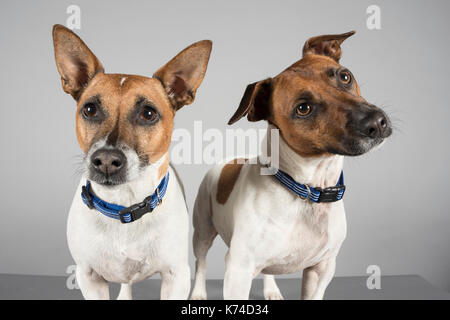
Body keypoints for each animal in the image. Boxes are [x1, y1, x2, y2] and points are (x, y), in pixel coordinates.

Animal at [53, 25, 212, 300]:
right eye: (90, 109)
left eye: (148, 113)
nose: (106, 160)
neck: (123, 205)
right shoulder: (89, 277)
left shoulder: (176, 277)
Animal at [192, 31, 392, 298]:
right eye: (303, 108)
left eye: (345, 76)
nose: (376, 122)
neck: (307, 189)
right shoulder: (238, 271)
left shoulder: (322, 268)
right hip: (203, 230)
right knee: (201, 262)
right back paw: (197, 292)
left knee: (268, 271)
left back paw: (271, 290)